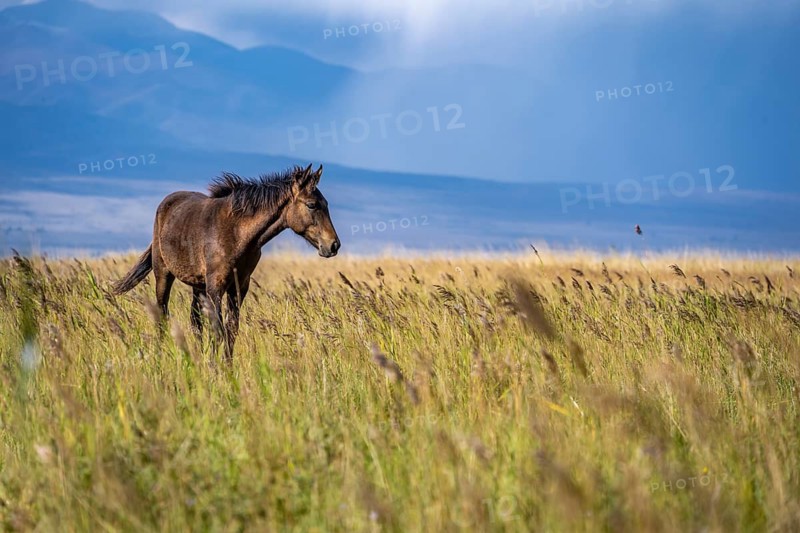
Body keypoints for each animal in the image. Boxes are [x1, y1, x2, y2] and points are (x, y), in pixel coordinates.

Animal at [112, 163, 340, 360]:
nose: (333, 245)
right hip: (164, 274)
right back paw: (163, 354)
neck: (236, 233)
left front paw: (226, 367)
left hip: (197, 285)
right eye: (312, 205)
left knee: (195, 322)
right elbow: (218, 330)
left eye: (327, 204)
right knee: (162, 314)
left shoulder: (239, 286)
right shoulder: (216, 285)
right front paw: (216, 369)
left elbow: (231, 330)